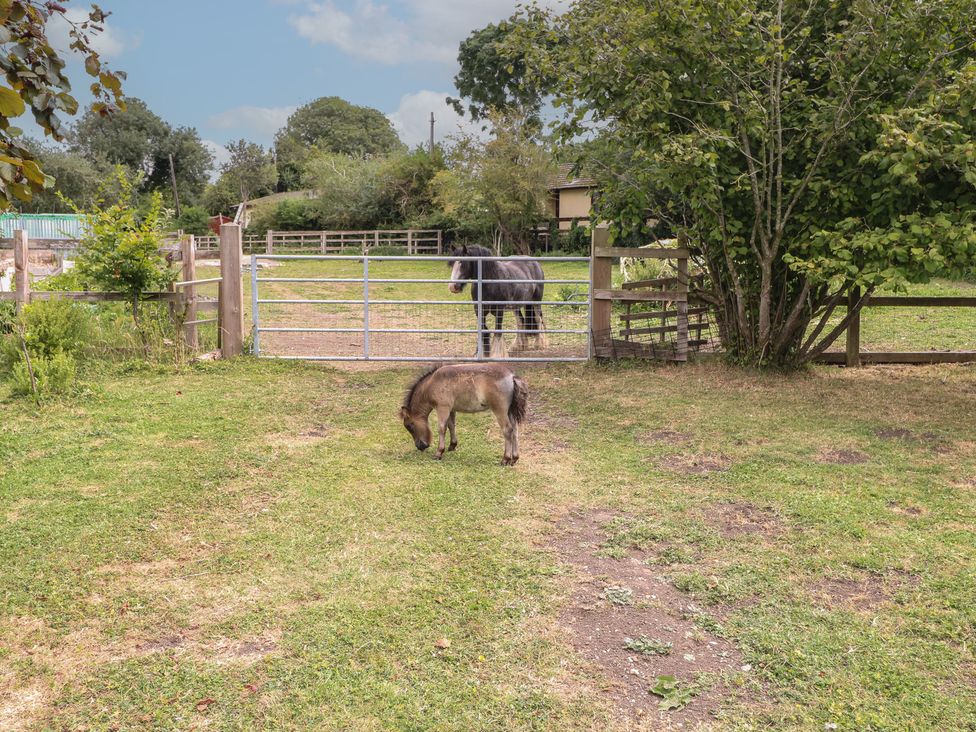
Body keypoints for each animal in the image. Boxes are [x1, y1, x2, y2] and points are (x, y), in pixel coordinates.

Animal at [400, 363, 529, 465]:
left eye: (410, 426)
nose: (420, 446)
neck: (433, 382)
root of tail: (512, 377)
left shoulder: (443, 408)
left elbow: (441, 428)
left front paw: (439, 453)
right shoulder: (451, 409)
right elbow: (451, 426)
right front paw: (452, 445)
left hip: (500, 410)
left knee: (507, 430)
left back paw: (505, 459)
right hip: (510, 411)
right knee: (515, 430)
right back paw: (514, 458)